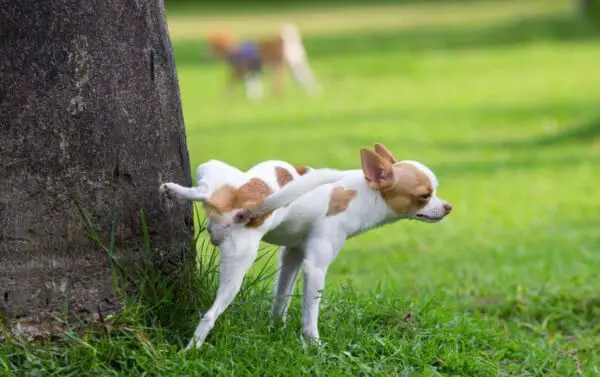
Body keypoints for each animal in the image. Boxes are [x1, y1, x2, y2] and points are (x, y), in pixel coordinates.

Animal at [159, 143, 450, 346]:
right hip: (239, 266)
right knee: (210, 315)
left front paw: (276, 329)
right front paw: (314, 346)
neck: (362, 193)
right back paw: (191, 351)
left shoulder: (292, 257)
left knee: (204, 190)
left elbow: (282, 299)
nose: (448, 207)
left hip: (212, 172)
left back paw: (174, 190)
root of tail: (246, 203)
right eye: (425, 195)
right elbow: (311, 315)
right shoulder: (315, 267)